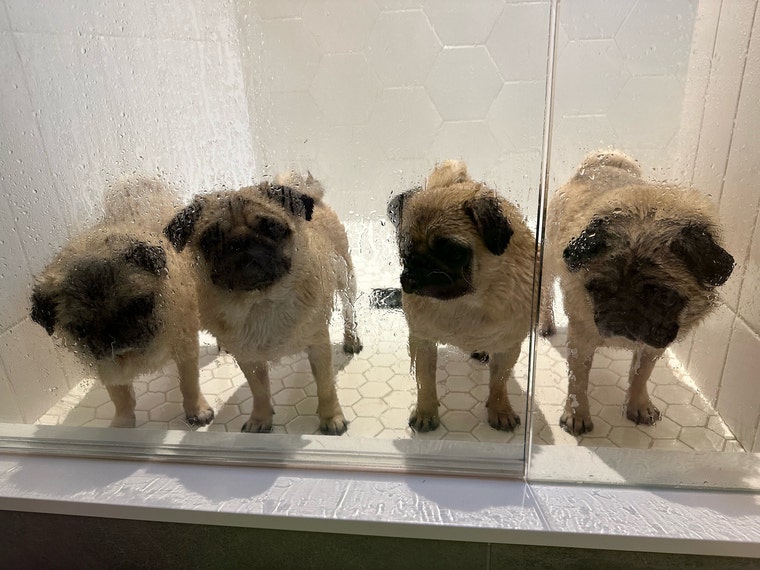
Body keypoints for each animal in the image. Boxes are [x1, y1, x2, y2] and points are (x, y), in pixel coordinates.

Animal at [30, 176, 215, 428]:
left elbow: (188, 383)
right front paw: (123, 424)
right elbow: (120, 397)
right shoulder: (108, 368)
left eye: (140, 305)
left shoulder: (185, 346)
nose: (114, 335)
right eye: (80, 329)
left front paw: (197, 409)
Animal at [163, 172, 362, 435]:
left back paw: (351, 339)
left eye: (273, 228)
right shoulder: (249, 359)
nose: (241, 242)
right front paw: (261, 419)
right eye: (209, 239)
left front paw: (332, 418)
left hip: (346, 279)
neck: (259, 302)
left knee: (350, 312)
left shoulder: (319, 346)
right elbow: (259, 391)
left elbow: (326, 386)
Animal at [388, 160, 535, 432]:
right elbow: (425, 380)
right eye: (405, 254)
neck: (466, 302)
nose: (419, 267)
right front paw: (426, 412)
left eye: (452, 252)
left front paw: (500, 409)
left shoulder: (509, 346)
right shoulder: (422, 340)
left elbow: (499, 381)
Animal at [539, 150, 735, 435]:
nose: (622, 316)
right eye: (596, 289)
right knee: (545, 292)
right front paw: (576, 414)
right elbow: (578, 380)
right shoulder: (581, 338)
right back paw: (545, 324)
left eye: (664, 297)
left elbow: (641, 374)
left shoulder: (653, 346)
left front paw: (638, 405)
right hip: (549, 263)